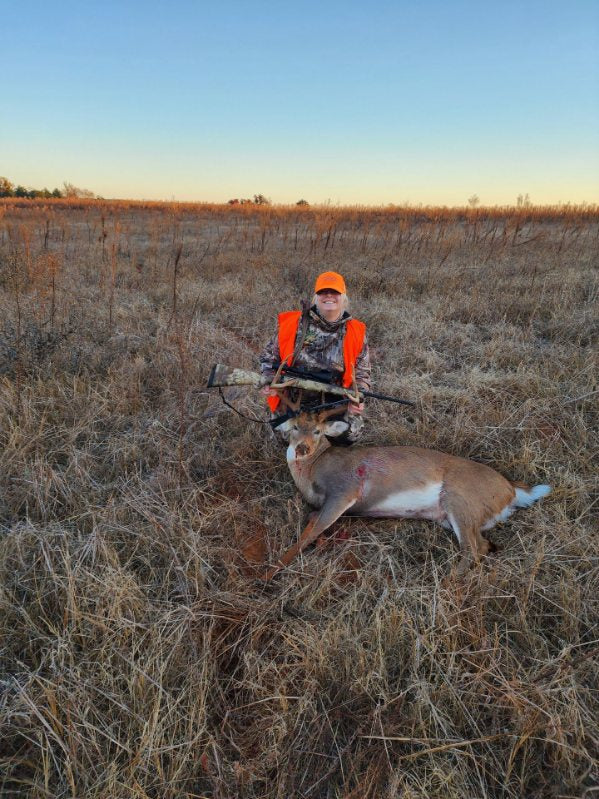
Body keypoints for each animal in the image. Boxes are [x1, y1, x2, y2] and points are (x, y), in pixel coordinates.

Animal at [262, 408, 551, 581]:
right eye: (295, 427)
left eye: (318, 431)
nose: (302, 448)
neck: (313, 469)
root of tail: (510, 489)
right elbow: (312, 520)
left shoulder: (345, 489)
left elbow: (309, 533)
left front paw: (266, 574)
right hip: (453, 516)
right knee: (484, 545)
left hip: (460, 501)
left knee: (473, 549)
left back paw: (446, 585)